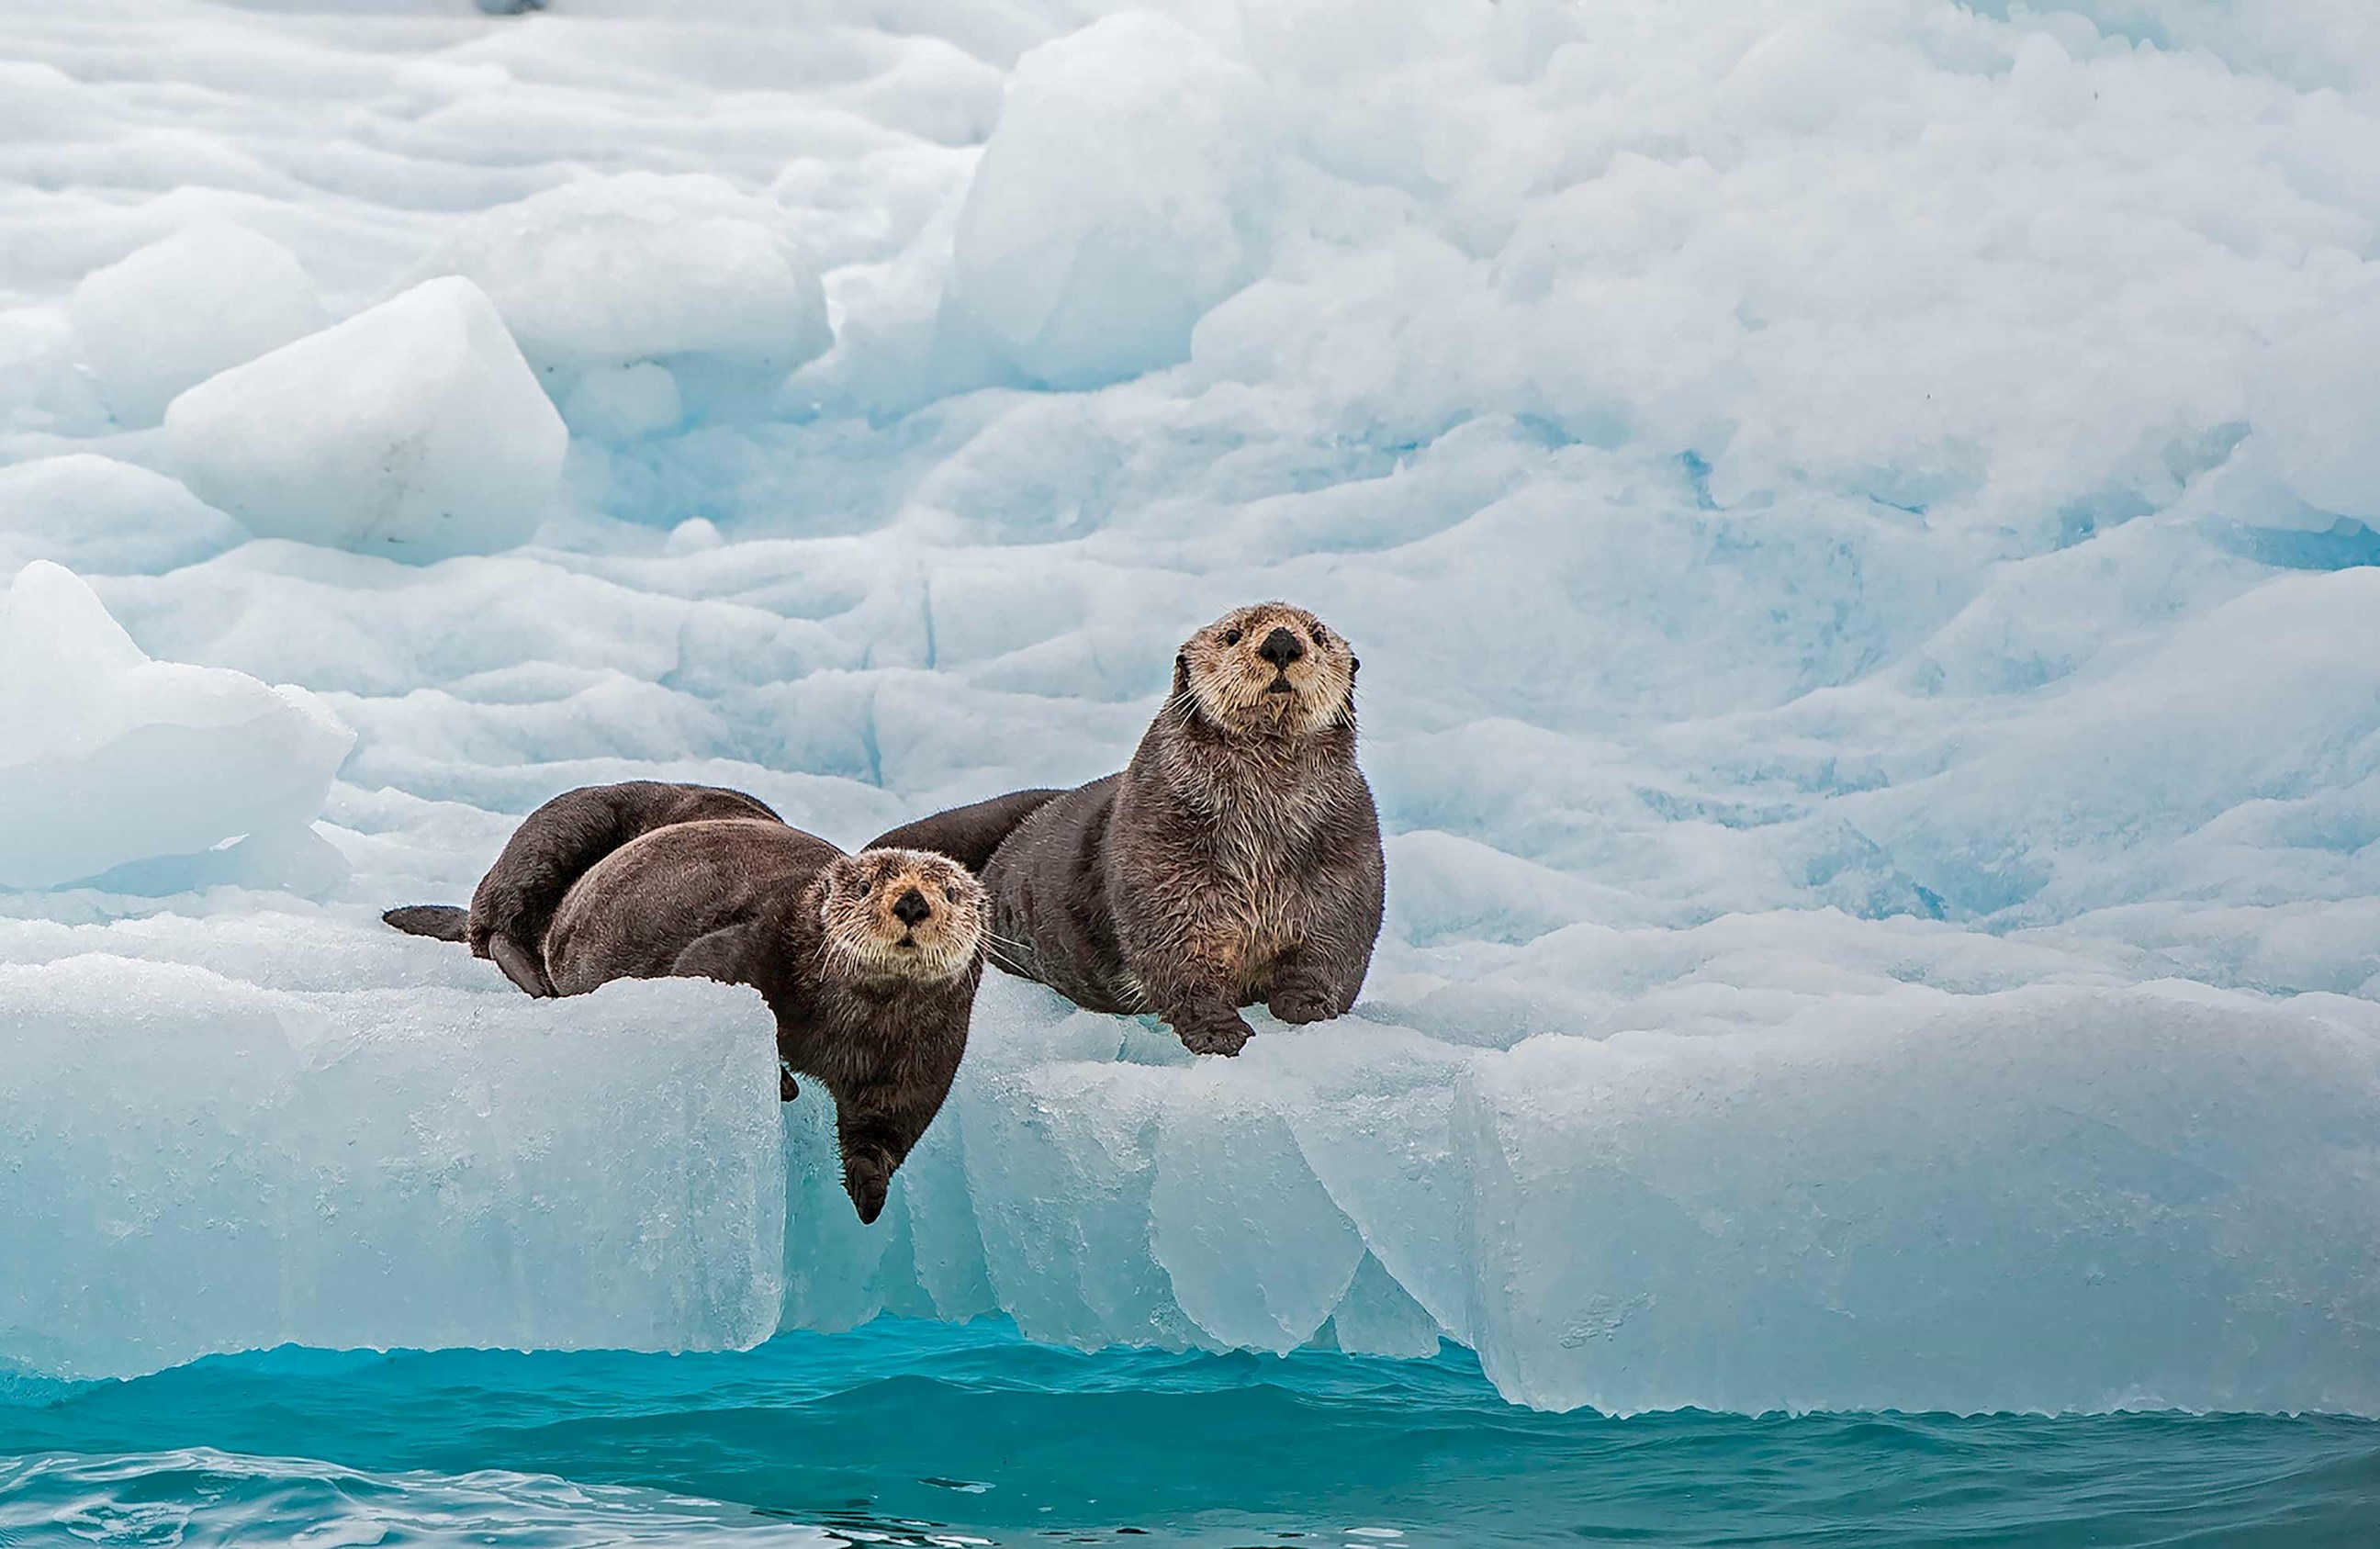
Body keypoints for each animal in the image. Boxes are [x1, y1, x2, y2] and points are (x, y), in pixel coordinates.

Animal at [384, 781, 986, 1222]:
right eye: (864, 887)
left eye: (951, 891)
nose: (912, 902)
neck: (857, 1021)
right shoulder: (748, 945)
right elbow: (702, 970)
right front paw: (784, 1082)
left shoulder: (925, 1053)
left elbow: (889, 1125)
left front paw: (869, 1195)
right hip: (557, 832)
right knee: (494, 926)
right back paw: (537, 977)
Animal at [870, 603, 1383, 1056]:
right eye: (1232, 634)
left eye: (1318, 634)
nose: (1281, 642)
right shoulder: (1156, 854)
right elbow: (1176, 957)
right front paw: (1218, 1033)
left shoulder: (1347, 856)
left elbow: (1335, 947)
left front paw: (1308, 1006)